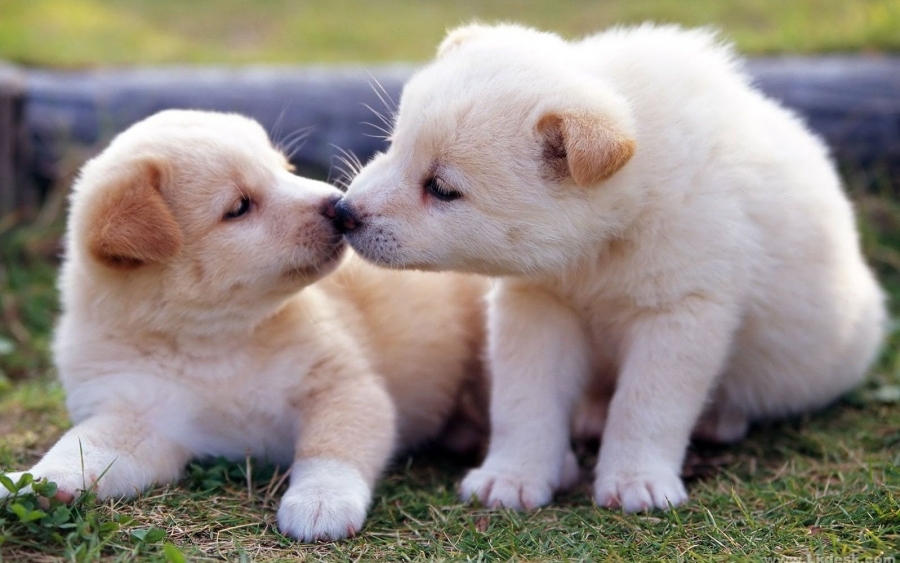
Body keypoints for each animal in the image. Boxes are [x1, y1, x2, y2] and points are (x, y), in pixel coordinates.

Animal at [0, 110, 488, 540]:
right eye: (239, 207)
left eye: (285, 168)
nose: (338, 205)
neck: (213, 345)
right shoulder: (135, 417)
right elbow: (80, 448)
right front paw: (39, 481)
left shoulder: (340, 386)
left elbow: (331, 449)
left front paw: (321, 502)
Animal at [336, 24, 884, 512]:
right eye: (393, 145)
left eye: (443, 188)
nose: (343, 213)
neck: (601, 248)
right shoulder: (537, 305)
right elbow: (523, 402)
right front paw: (511, 477)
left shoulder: (680, 313)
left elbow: (646, 406)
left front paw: (637, 481)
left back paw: (718, 419)